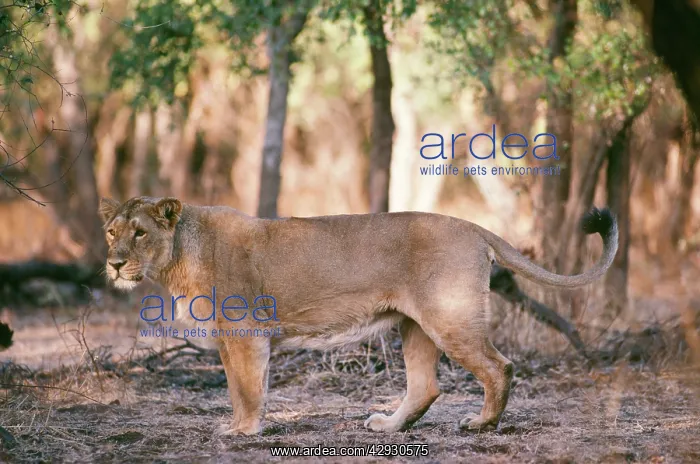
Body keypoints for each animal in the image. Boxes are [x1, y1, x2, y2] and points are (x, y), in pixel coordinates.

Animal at [99, 196, 617, 436]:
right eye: (111, 232)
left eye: (140, 232)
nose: (115, 263)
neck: (178, 257)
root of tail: (473, 226)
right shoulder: (248, 341)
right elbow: (251, 388)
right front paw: (250, 426)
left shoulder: (242, 334)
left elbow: (242, 389)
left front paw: (240, 431)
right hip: (414, 326)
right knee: (426, 387)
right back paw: (389, 426)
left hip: (449, 319)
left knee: (499, 366)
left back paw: (480, 424)